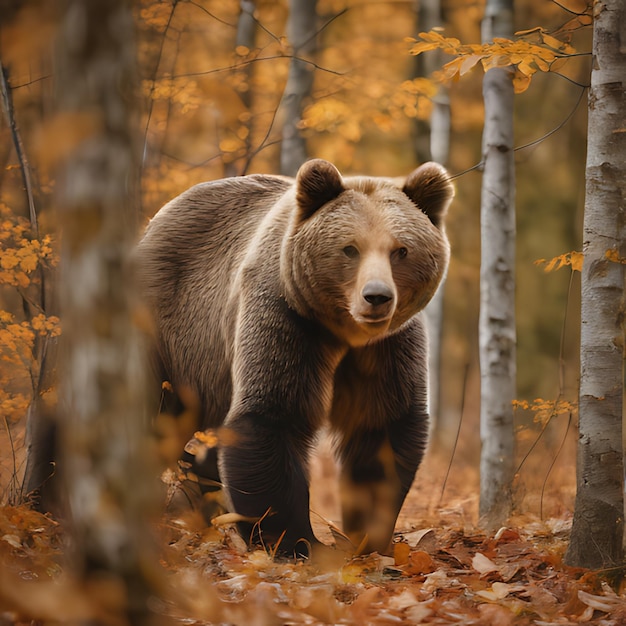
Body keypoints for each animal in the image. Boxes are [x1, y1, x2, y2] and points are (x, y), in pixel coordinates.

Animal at [134, 160, 450, 556]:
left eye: (401, 250)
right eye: (350, 249)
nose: (377, 297)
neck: (343, 332)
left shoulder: (387, 346)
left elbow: (381, 427)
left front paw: (368, 537)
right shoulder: (286, 314)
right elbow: (274, 414)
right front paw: (295, 542)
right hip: (168, 327)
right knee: (153, 412)